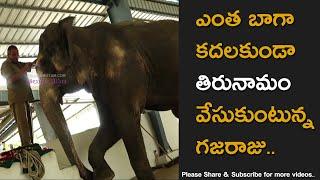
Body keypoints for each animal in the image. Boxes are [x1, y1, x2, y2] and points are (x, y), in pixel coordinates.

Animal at [36, 16, 179, 179]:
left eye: (42, 64)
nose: (88, 174)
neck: (81, 32)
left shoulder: (122, 71)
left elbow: (125, 120)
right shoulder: (102, 85)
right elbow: (111, 124)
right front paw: (106, 175)